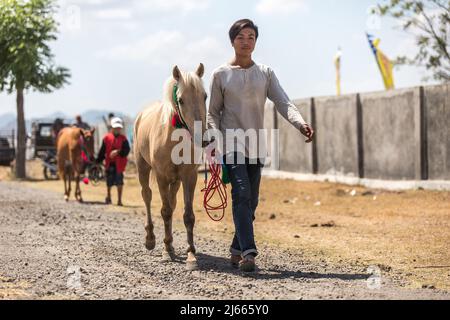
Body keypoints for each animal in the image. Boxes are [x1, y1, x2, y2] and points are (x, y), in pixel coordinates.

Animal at [134, 63, 209, 270]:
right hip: (143, 168)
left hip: (175, 182)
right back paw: (151, 239)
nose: (204, 139)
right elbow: (165, 212)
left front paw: (191, 254)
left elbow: (188, 216)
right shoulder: (161, 176)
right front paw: (166, 251)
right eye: (181, 100)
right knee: (147, 196)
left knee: (173, 202)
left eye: (205, 96)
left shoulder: (189, 176)